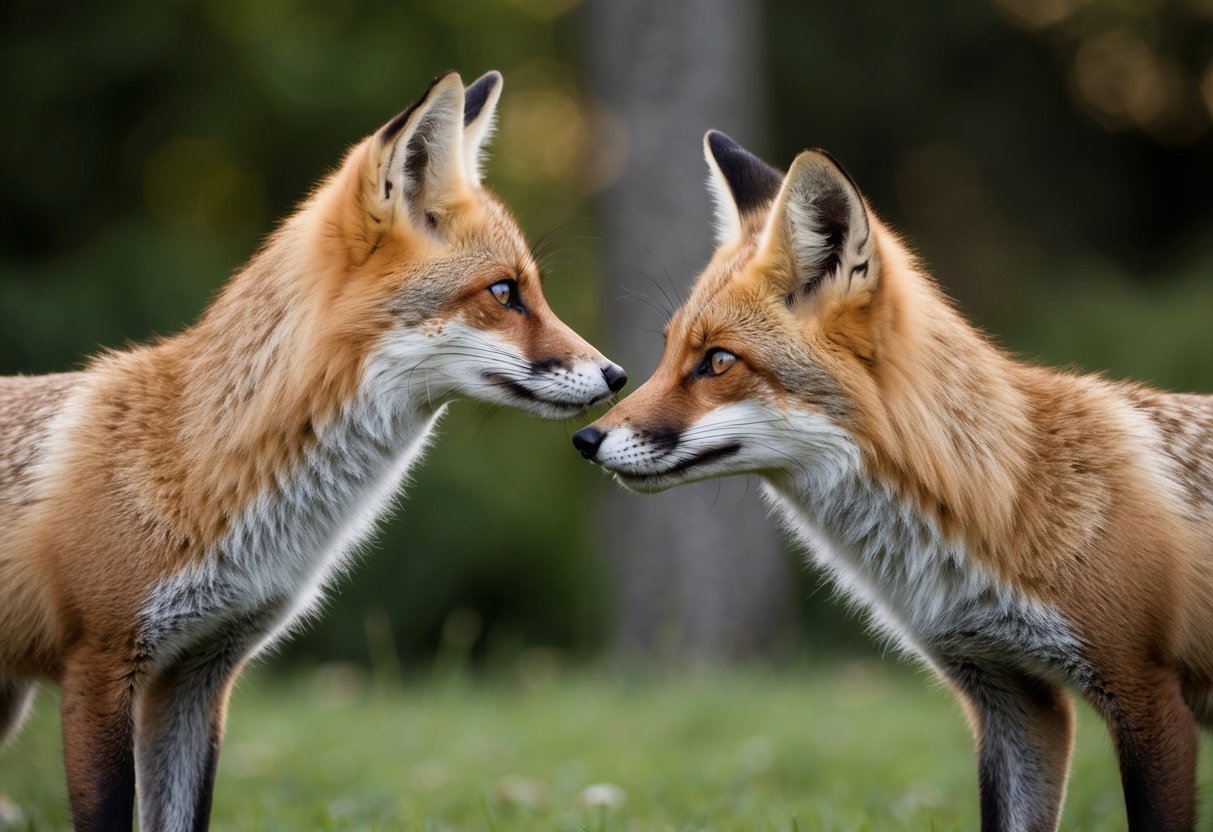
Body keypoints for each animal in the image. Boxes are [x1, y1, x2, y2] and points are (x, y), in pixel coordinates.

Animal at [0, 70, 626, 832]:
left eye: (529, 290)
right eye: (504, 292)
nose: (617, 376)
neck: (208, 466)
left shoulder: (199, 675)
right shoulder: (99, 663)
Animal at [572, 130, 1213, 831]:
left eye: (717, 362)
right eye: (668, 354)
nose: (586, 440)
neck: (999, 500)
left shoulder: (1145, 692)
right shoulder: (1011, 697)